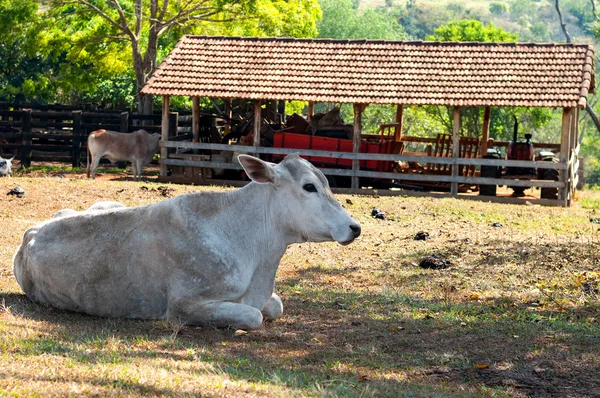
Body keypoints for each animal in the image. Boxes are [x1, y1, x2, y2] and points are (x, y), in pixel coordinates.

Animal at [12, 155, 360, 330]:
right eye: (309, 187)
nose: (354, 227)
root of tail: (30, 232)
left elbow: (274, 305)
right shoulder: (184, 304)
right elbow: (254, 316)